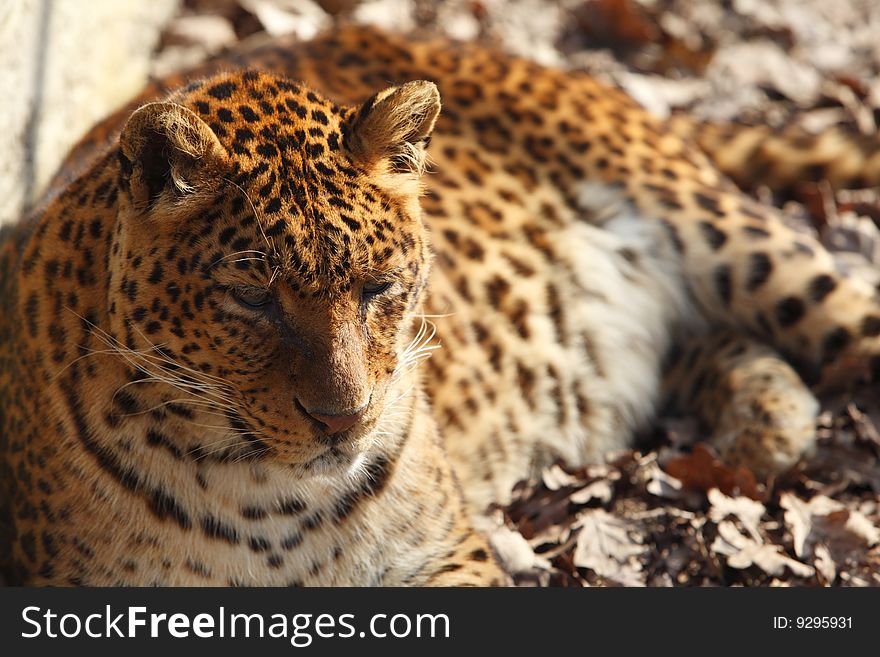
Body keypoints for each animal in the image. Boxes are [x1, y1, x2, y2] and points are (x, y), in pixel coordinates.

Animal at [1, 25, 880, 588]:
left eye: (379, 288)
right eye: (252, 298)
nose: (343, 420)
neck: (261, 497)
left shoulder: (445, 554)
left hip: (728, 234)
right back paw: (766, 419)